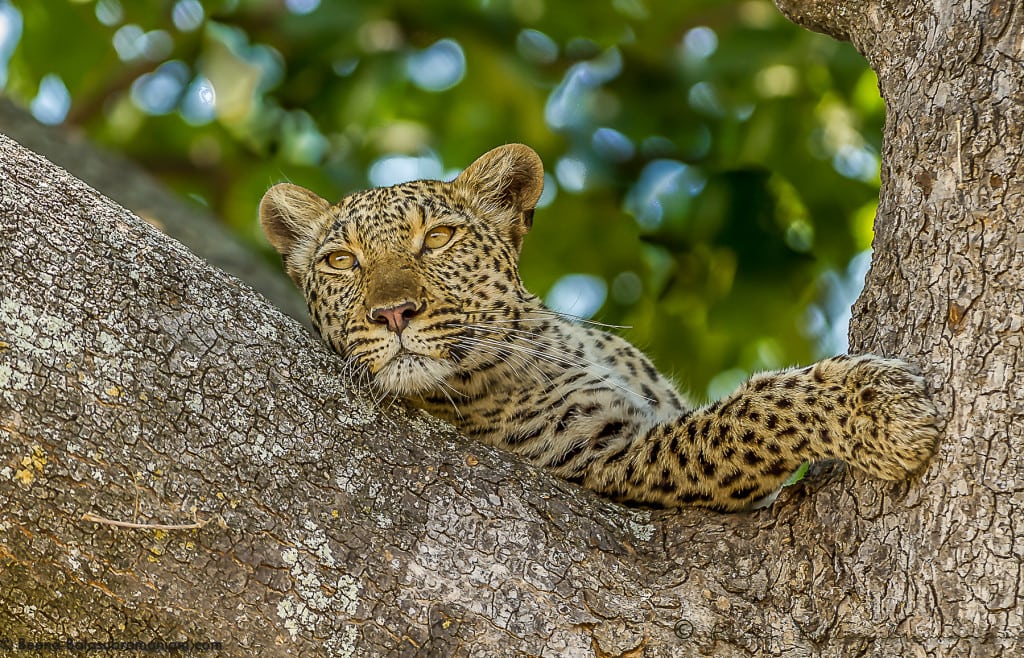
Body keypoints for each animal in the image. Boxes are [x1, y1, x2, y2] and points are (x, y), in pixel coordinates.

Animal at [260, 145, 937, 515]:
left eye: (439, 238)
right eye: (340, 261)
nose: (392, 312)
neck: (548, 345)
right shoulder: (612, 461)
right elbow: (740, 418)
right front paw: (881, 410)